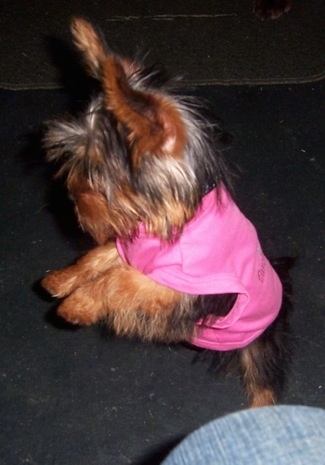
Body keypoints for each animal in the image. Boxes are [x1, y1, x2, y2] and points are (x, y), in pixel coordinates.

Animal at [41, 17, 292, 406]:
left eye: (96, 173)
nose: (71, 198)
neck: (167, 221)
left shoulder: (179, 286)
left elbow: (120, 279)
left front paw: (77, 304)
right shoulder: (131, 247)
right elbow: (100, 256)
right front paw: (62, 279)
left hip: (259, 343)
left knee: (262, 379)